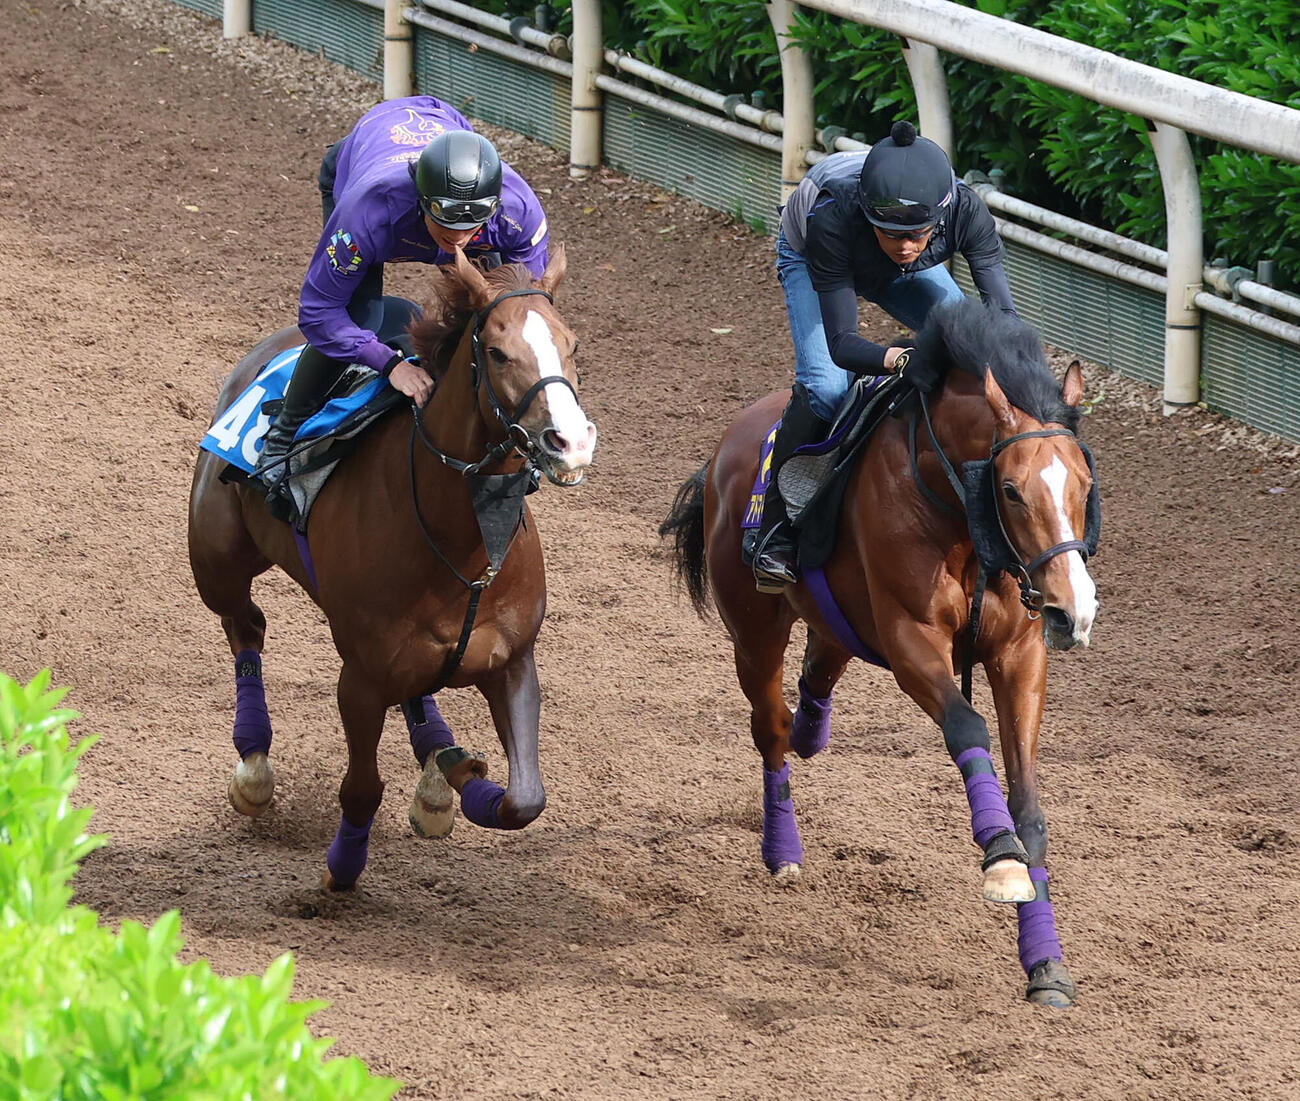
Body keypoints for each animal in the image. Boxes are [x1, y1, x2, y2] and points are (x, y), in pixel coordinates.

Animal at [187, 246, 596, 889]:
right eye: (498, 352)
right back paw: (254, 765)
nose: (571, 442)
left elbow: (524, 799)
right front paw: (341, 870)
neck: (461, 544)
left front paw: (459, 776)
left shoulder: (512, 659)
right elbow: (361, 789)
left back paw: (437, 760)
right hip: (215, 562)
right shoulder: (359, 679)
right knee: (244, 625)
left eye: (572, 344)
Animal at [660, 297, 1099, 1007]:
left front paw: (1046, 963)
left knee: (815, 677)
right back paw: (782, 849)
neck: (957, 516)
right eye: (1009, 489)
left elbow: (1030, 804)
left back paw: (812, 729)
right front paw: (1000, 856)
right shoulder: (909, 639)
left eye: (1084, 485)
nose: (1073, 609)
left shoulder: (1019, 654)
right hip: (753, 631)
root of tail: (729, 444)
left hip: (834, 623)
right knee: (770, 727)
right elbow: (966, 726)